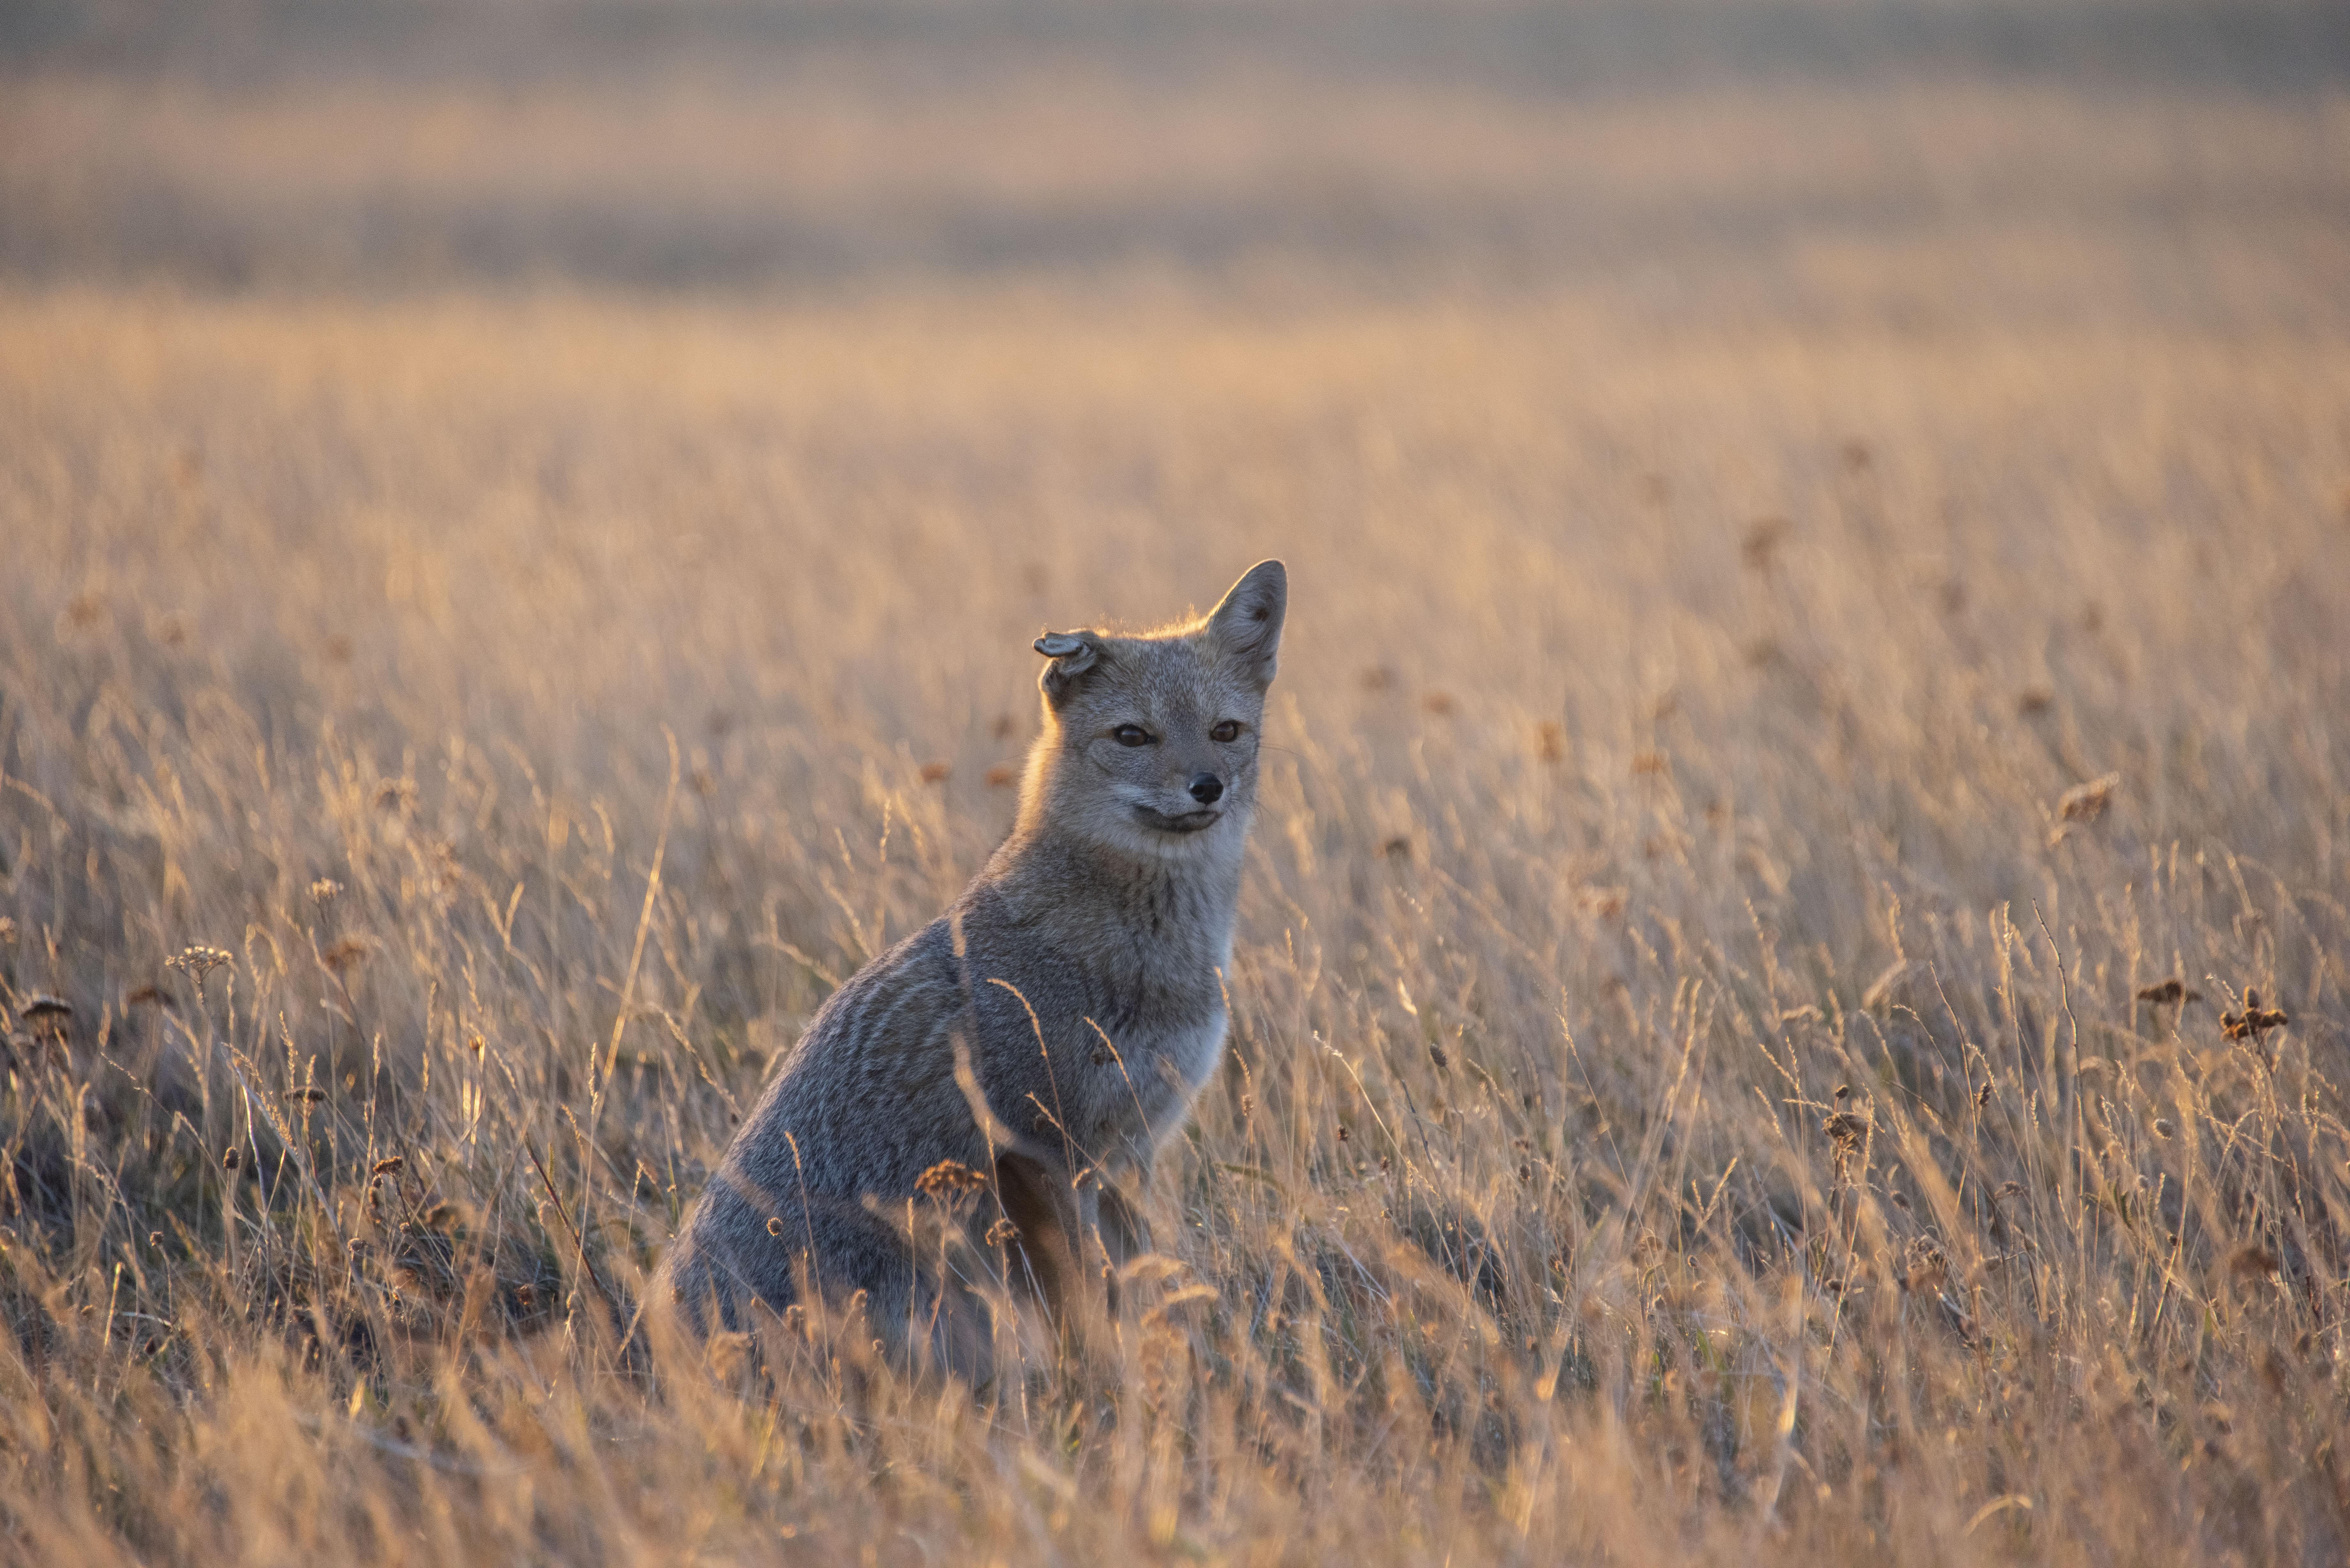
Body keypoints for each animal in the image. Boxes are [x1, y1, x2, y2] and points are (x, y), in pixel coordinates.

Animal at [656, 560, 1287, 1380]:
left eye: (1225, 731)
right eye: (1132, 735)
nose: (1207, 785)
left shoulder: (1130, 1149)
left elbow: (1140, 1283)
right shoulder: (1047, 1148)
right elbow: (1092, 1297)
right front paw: (1109, 1379)